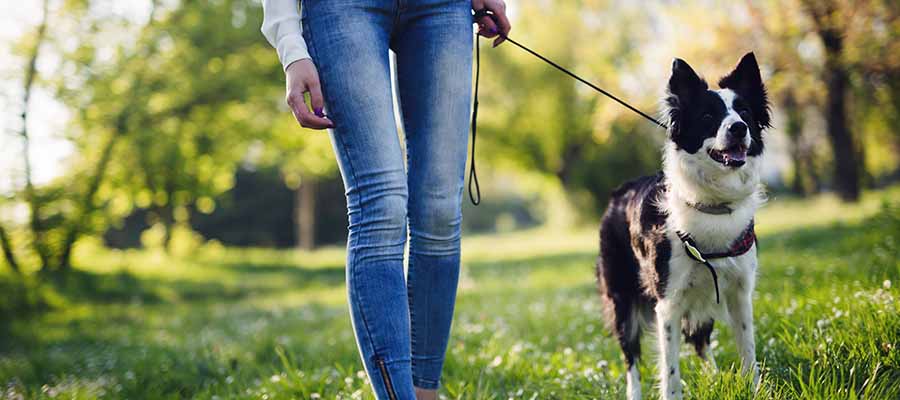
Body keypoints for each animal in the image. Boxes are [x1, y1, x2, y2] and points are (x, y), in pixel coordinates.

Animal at [596, 53, 768, 400]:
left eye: (744, 112)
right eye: (707, 116)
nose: (739, 128)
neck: (713, 203)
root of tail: (618, 193)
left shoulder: (739, 292)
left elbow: (748, 351)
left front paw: (753, 390)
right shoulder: (668, 303)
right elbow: (671, 369)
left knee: (700, 341)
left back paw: (714, 377)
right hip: (622, 301)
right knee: (631, 358)